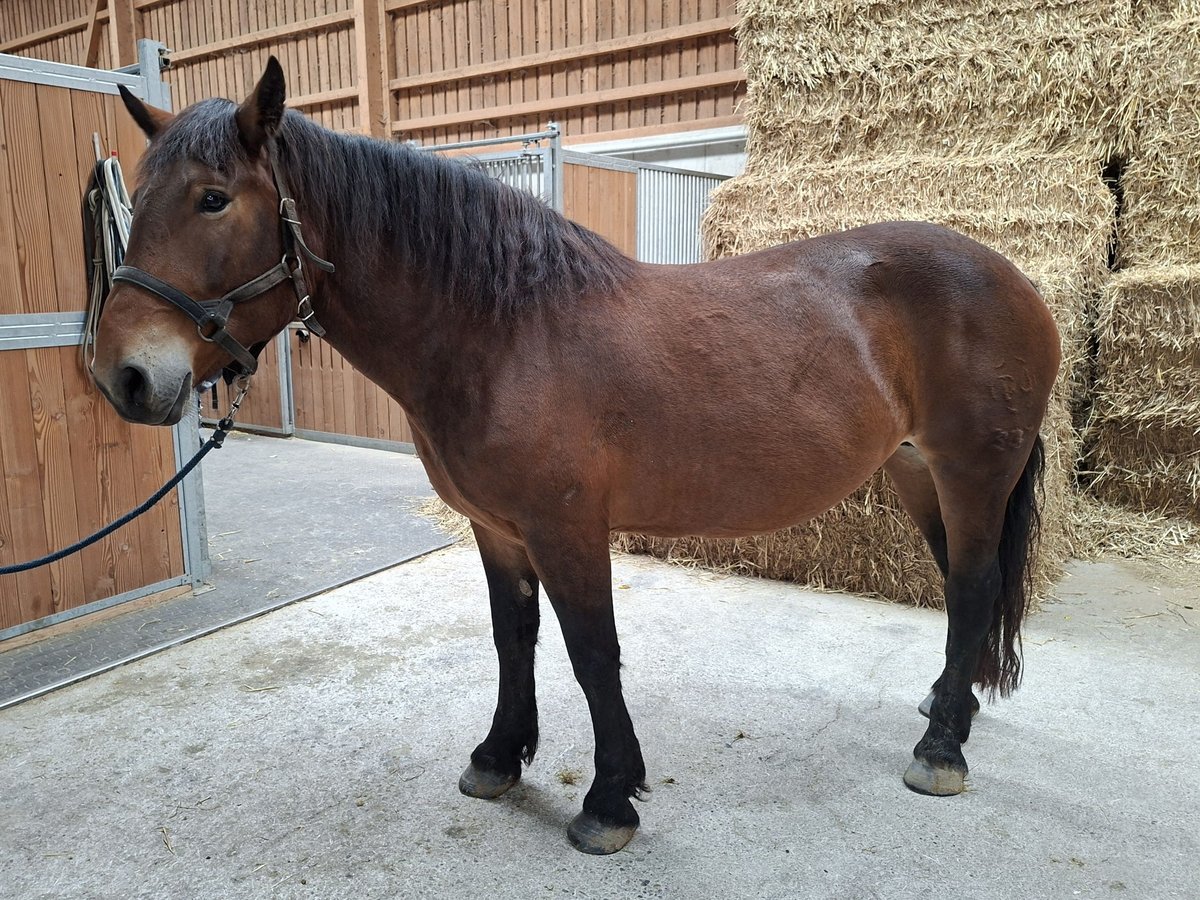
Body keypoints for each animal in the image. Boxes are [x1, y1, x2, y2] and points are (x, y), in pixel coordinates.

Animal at [93, 58, 1060, 855]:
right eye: (134, 197)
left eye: (213, 198)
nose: (125, 377)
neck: (504, 331)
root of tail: (1014, 277)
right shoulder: (497, 530)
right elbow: (513, 638)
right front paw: (498, 756)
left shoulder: (567, 528)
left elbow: (594, 651)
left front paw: (609, 800)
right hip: (917, 470)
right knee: (959, 586)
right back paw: (948, 705)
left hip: (973, 471)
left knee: (974, 584)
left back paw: (940, 750)